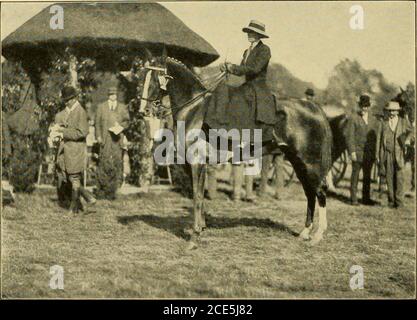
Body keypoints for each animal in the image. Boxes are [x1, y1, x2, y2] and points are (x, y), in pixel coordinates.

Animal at [130, 51, 332, 249]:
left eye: (154, 79)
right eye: (141, 77)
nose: (142, 111)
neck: (193, 109)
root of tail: (313, 107)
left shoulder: (197, 163)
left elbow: (197, 196)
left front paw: (194, 237)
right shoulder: (194, 164)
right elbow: (199, 195)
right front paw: (201, 228)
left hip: (309, 161)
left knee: (320, 191)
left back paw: (317, 235)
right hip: (297, 161)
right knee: (309, 192)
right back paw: (304, 232)